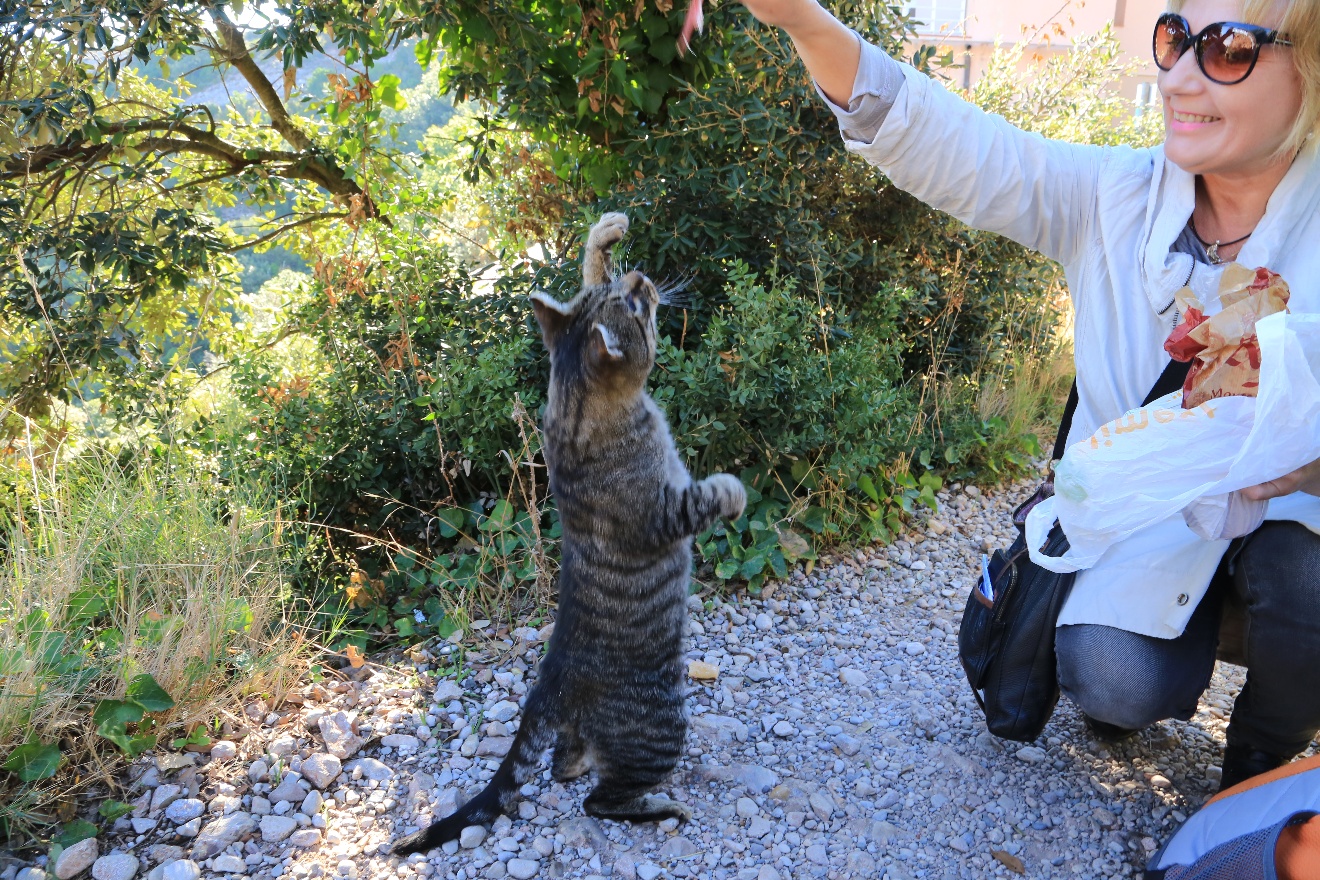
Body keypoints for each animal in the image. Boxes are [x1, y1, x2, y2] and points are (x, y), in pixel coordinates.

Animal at [385, 209, 749, 854]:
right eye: (637, 308)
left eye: (627, 293)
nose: (641, 277)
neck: (576, 410)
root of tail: (550, 681)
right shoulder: (663, 513)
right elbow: (705, 496)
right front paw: (733, 491)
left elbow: (585, 270)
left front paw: (606, 233)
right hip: (662, 724)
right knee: (600, 801)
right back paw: (660, 806)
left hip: (589, 732)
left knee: (561, 763)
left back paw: (578, 763)